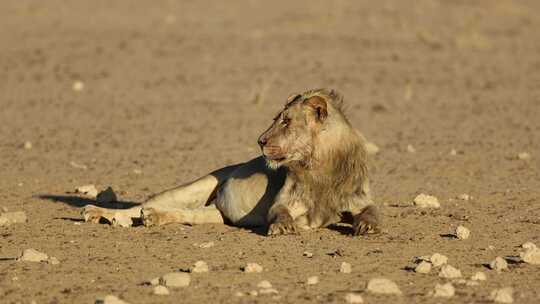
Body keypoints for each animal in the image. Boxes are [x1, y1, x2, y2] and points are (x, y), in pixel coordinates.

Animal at [83, 88, 380, 235]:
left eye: (286, 121)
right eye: (277, 118)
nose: (260, 140)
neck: (319, 165)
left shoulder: (359, 199)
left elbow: (372, 211)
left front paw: (368, 226)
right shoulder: (283, 200)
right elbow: (280, 211)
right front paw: (284, 227)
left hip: (215, 214)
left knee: (187, 214)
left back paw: (153, 218)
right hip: (194, 187)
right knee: (140, 205)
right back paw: (99, 213)